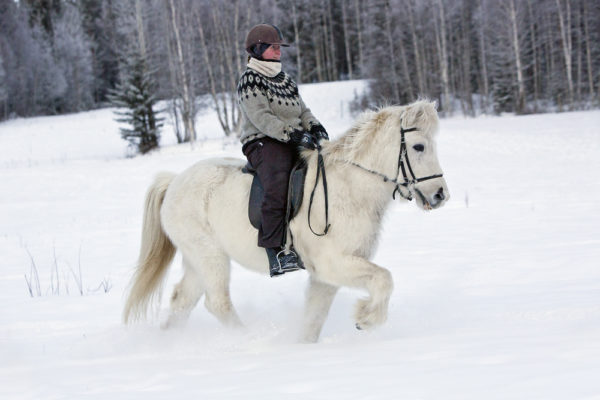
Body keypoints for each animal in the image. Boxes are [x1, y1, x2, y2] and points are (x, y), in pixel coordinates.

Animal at [124, 99, 448, 340]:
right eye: (419, 146)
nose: (440, 195)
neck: (348, 186)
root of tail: (175, 181)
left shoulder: (325, 275)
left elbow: (314, 318)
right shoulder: (333, 264)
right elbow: (384, 279)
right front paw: (366, 318)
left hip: (197, 262)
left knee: (182, 301)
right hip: (210, 257)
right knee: (217, 303)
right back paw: (248, 339)